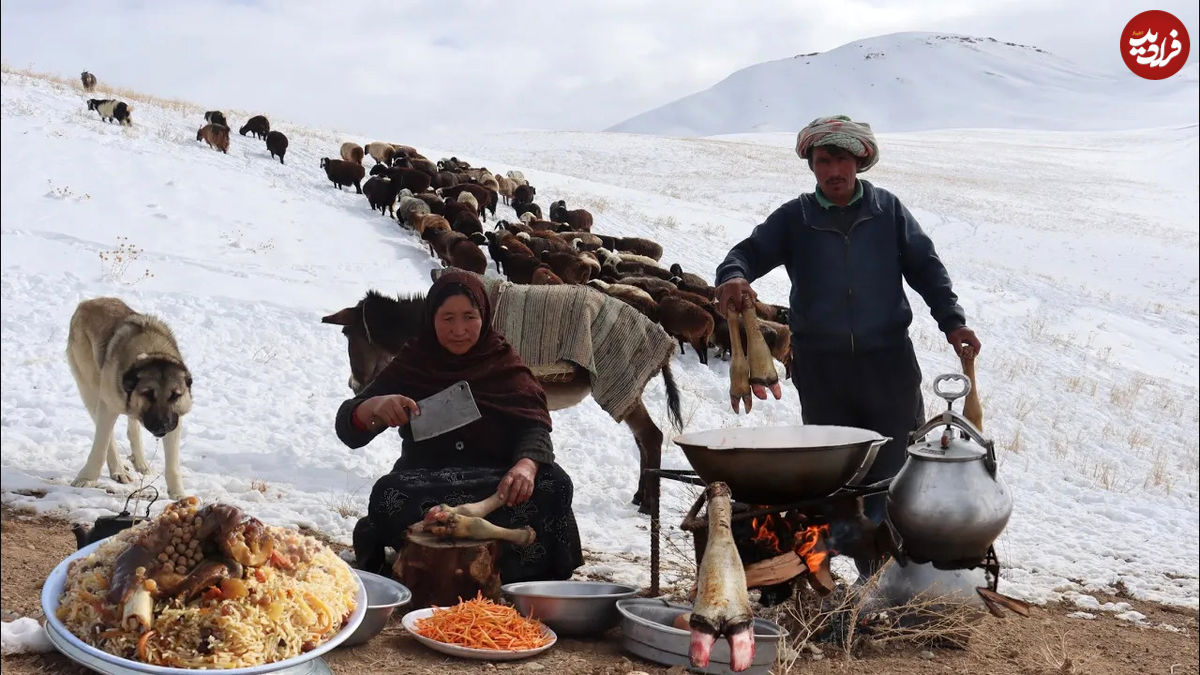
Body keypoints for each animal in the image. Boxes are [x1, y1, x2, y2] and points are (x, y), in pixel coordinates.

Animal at [68, 296, 192, 497]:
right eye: (148, 394)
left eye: (175, 395)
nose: (163, 426)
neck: (152, 351)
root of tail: (87, 303)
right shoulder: (108, 406)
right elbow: (100, 446)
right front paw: (86, 478)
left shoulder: (176, 418)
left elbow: (173, 464)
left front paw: (178, 495)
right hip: (90, 389)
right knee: (107, 435)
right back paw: (118, 470)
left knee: (132, 428)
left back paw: (141, 463)